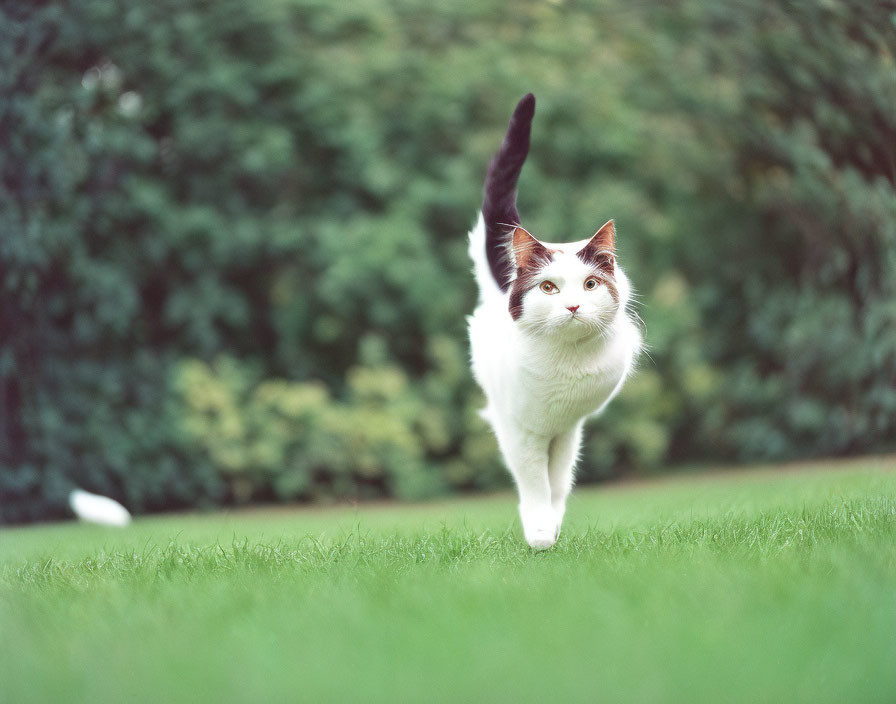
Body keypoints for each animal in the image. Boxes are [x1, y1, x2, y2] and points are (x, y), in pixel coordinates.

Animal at [466, 92, 640, 552]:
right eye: (548, 288)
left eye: (590, 284)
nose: (574, 307)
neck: (567, 365)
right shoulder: (522, 430)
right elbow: (535, 484)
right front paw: (541, 534)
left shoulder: (568, 431)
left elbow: (559, 483)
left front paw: (553, 527)